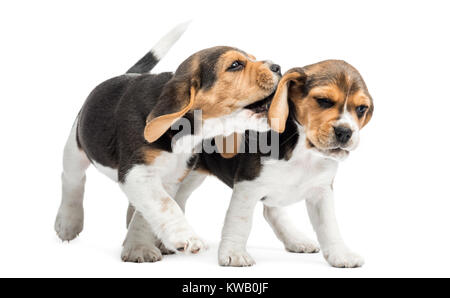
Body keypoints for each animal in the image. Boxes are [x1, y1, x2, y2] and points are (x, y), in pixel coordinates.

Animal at [54, 25, 282, 264]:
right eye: (235, 65)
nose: (278, 67)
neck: (185, 130)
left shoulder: (169, 178)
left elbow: (149, 213)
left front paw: (139, 246)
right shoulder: (137, 172)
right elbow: (166, 205)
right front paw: (185, 239)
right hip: (75, 147)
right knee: (73, 180)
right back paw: (68, 223)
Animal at [181, 60, 374, 268]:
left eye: (361, 108)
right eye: (323, 100)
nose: (345, 132)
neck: (304, 152)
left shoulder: (321, 191)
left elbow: (328, 225)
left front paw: (340, 254)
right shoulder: (248, 186)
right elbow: (239, 221)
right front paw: (234, 252)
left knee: (271, 210)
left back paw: (295, 239)